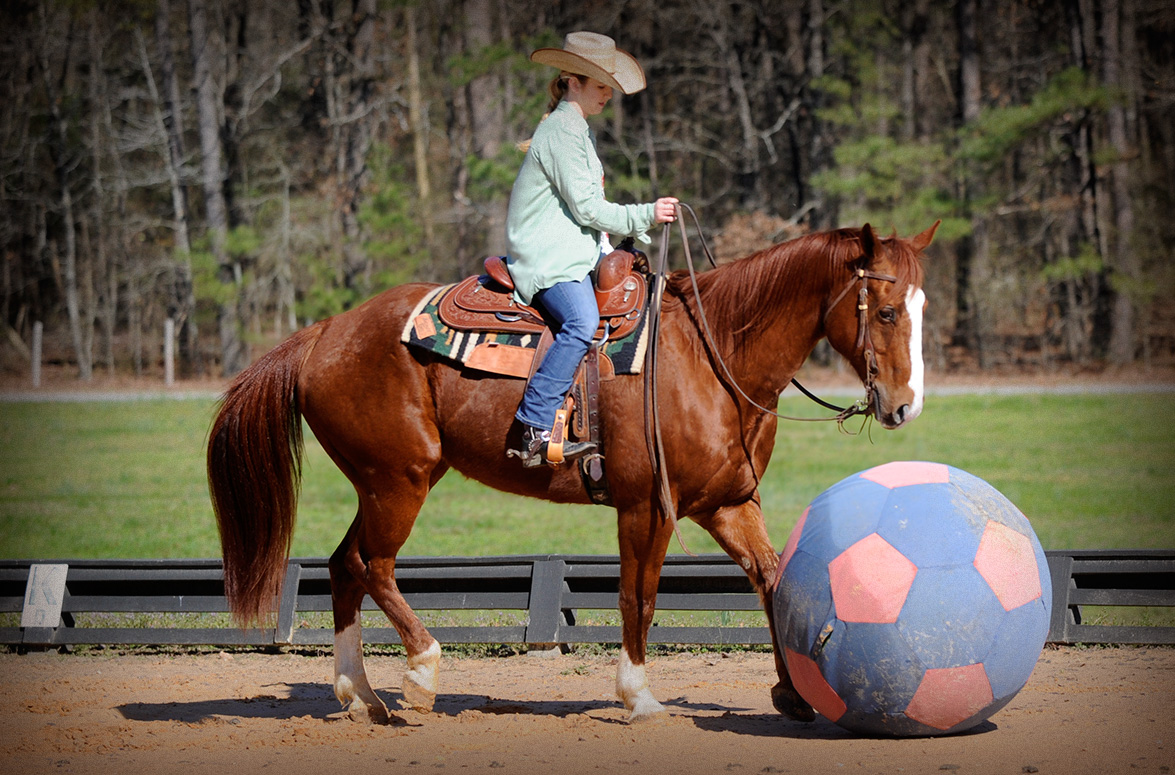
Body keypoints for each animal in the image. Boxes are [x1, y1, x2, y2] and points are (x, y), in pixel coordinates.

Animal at [202, 219, 935, 728]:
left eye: (921, 308)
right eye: (887, 310)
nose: (905, 406)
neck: (714, 354)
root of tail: (324, 333)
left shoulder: (727, 502)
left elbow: (774, 579)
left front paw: (791, 693)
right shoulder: (648, 506)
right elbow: (638, 597)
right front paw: (637, 695)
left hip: (381, 483)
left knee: (341, 566)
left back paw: (361, 696)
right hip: (398, 481)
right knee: (371, 564)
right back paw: (421, 674)